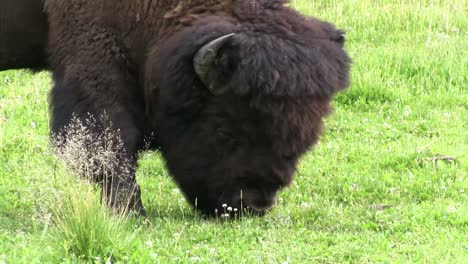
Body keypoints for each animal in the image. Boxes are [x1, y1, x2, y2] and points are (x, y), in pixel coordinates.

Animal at [0, 0, 352, 217]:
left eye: (305, 138)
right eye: (225, 131)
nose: (252, 205)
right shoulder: (94, 63)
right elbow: (108, 142)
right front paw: (131, 212)